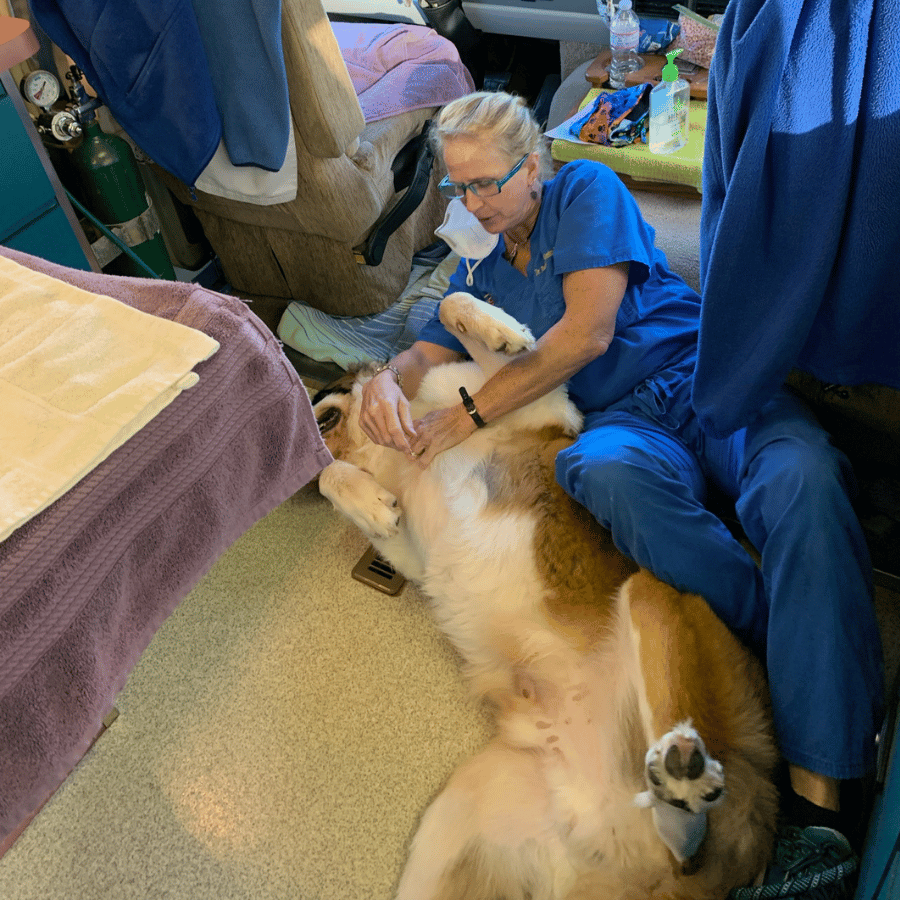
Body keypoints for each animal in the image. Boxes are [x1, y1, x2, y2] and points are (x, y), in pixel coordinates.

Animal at [312, 296, 776, 900]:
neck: (388, 451)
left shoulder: (542, 408)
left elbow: (457, 308)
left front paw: (505, 334)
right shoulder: (411, 550)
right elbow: (338, 482)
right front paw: (367, 502)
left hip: (654, 595)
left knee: (695, 835)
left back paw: (685, 780)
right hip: (455, 822)